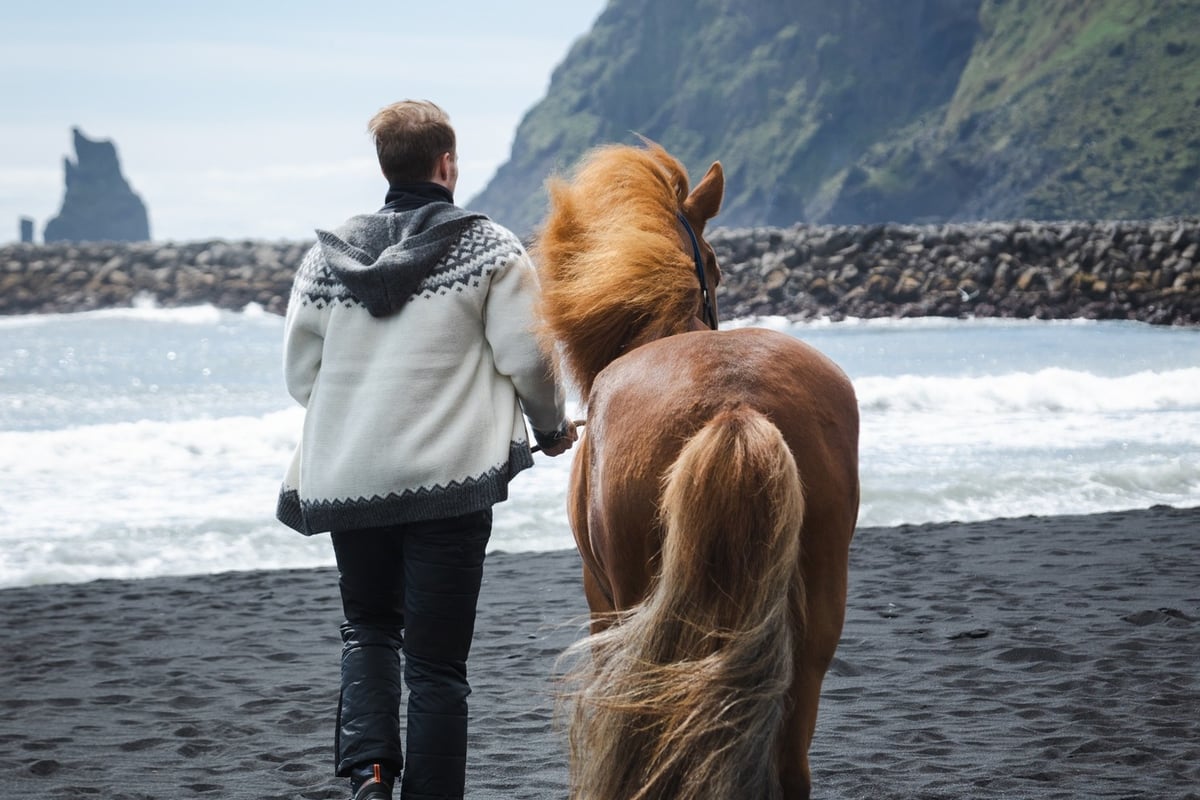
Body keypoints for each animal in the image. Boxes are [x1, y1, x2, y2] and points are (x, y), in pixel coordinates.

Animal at [533, 141, 860, 800]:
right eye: (715, 263)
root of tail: (736, 405)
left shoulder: (598, 597)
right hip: (813, 632)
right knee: (792, 765)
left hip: (633, 602)